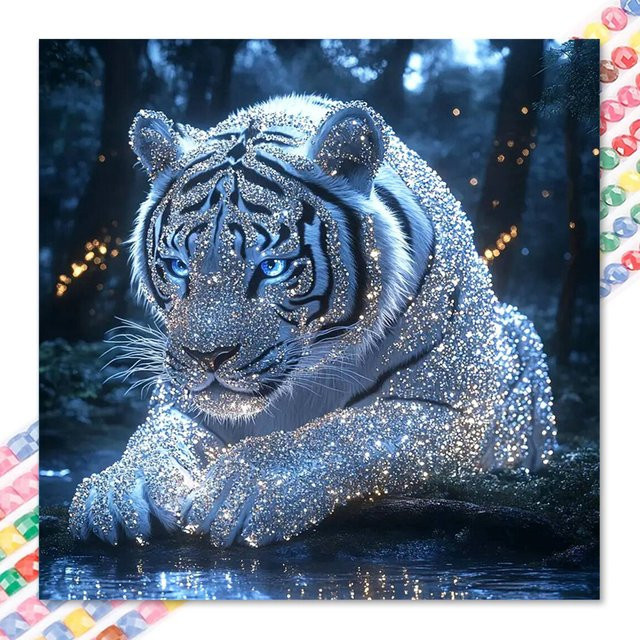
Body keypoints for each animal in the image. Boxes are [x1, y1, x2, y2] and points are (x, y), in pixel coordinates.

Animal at [69, 95, 557, 548]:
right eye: (177, 266)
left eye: (271, 268)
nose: (206, 357)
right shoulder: (179, 401)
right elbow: (155, 440)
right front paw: (114, 492)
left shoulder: (455, 411)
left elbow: (346, 433)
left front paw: (243, 489)